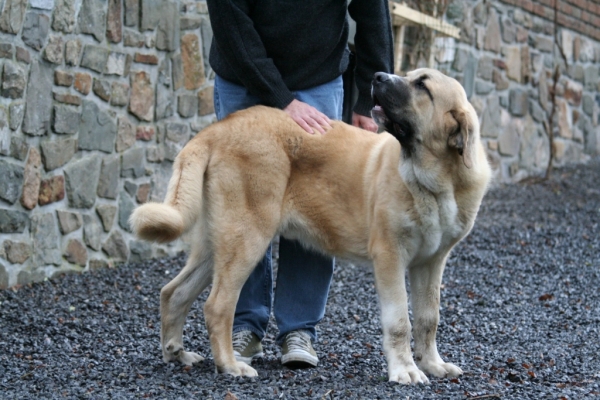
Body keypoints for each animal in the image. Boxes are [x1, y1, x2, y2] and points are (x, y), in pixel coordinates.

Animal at [129, 69, 490, 384]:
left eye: (422, 86)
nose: (377, 76)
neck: (436, 180)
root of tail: (217, 130)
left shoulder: (431, 262)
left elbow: (429, 318)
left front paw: (433, 364)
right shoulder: (390, 256)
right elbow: (400, 320)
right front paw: (405, 370)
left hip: (216, 244)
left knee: (174, 292)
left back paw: (177, 353)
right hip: (247, 237)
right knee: (217, 306)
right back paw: (230, 364)